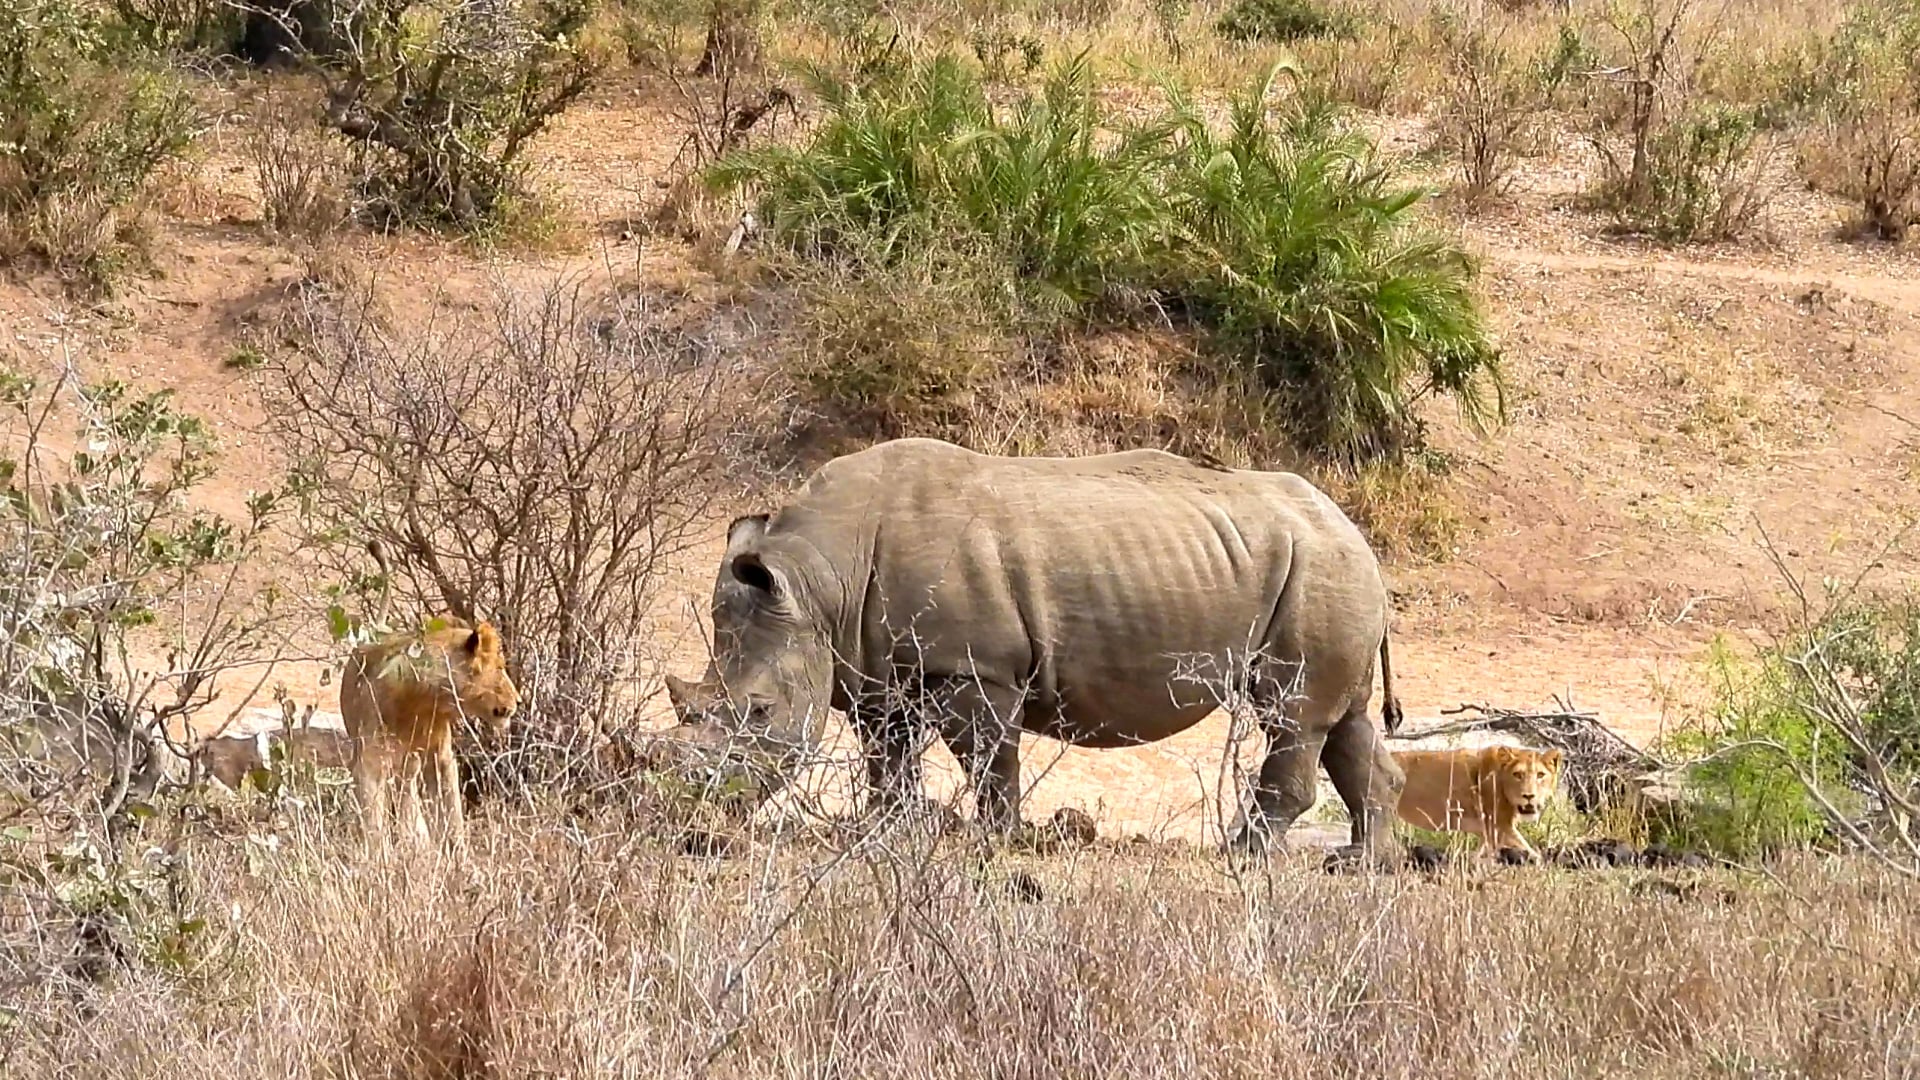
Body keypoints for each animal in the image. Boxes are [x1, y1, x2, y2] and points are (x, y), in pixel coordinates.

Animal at [339, 616, 519, 849]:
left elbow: (452, 814)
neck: (423, 702)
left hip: (409, 766)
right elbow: (374, 822)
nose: (519, 700)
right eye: (500, 668)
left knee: (408, 794)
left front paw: (458, 853)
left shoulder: (440, 757)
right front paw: (380, 855)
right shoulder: (370, 764)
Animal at [662, 437, 1407, 858]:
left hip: (1322, 564)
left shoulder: (975, 668)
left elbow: (989, 758)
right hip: (1322, 564)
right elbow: (888, 759)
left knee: (1293, 713)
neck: (819, 581)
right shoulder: (875, 671)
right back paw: (1363, 865)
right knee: (1342, 721)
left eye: (761, 711)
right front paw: (884, 834)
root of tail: (1353, 528)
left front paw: (990, 841)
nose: (700, 815)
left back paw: (1245, 854)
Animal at [1390, 744, 1563, 856]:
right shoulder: (1498, 826)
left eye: (1540, 775)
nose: (1528, 796)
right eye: (1517, 775)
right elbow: (1531, 853)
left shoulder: (1488, 832)